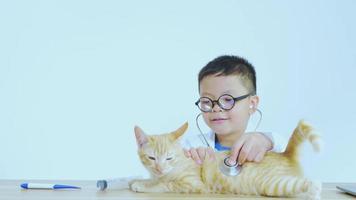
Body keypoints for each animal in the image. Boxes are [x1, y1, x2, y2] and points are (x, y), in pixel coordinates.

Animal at [131, 120, 322, 200]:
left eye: (169, 158)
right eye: (152, 158)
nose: (160, 168)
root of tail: (285, 154)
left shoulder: (192, 184)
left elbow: (165, 184)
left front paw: (143, 185)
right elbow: (155, 179)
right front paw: (139, 180)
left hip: (272, 184)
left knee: (309, 183)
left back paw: (314, 192)